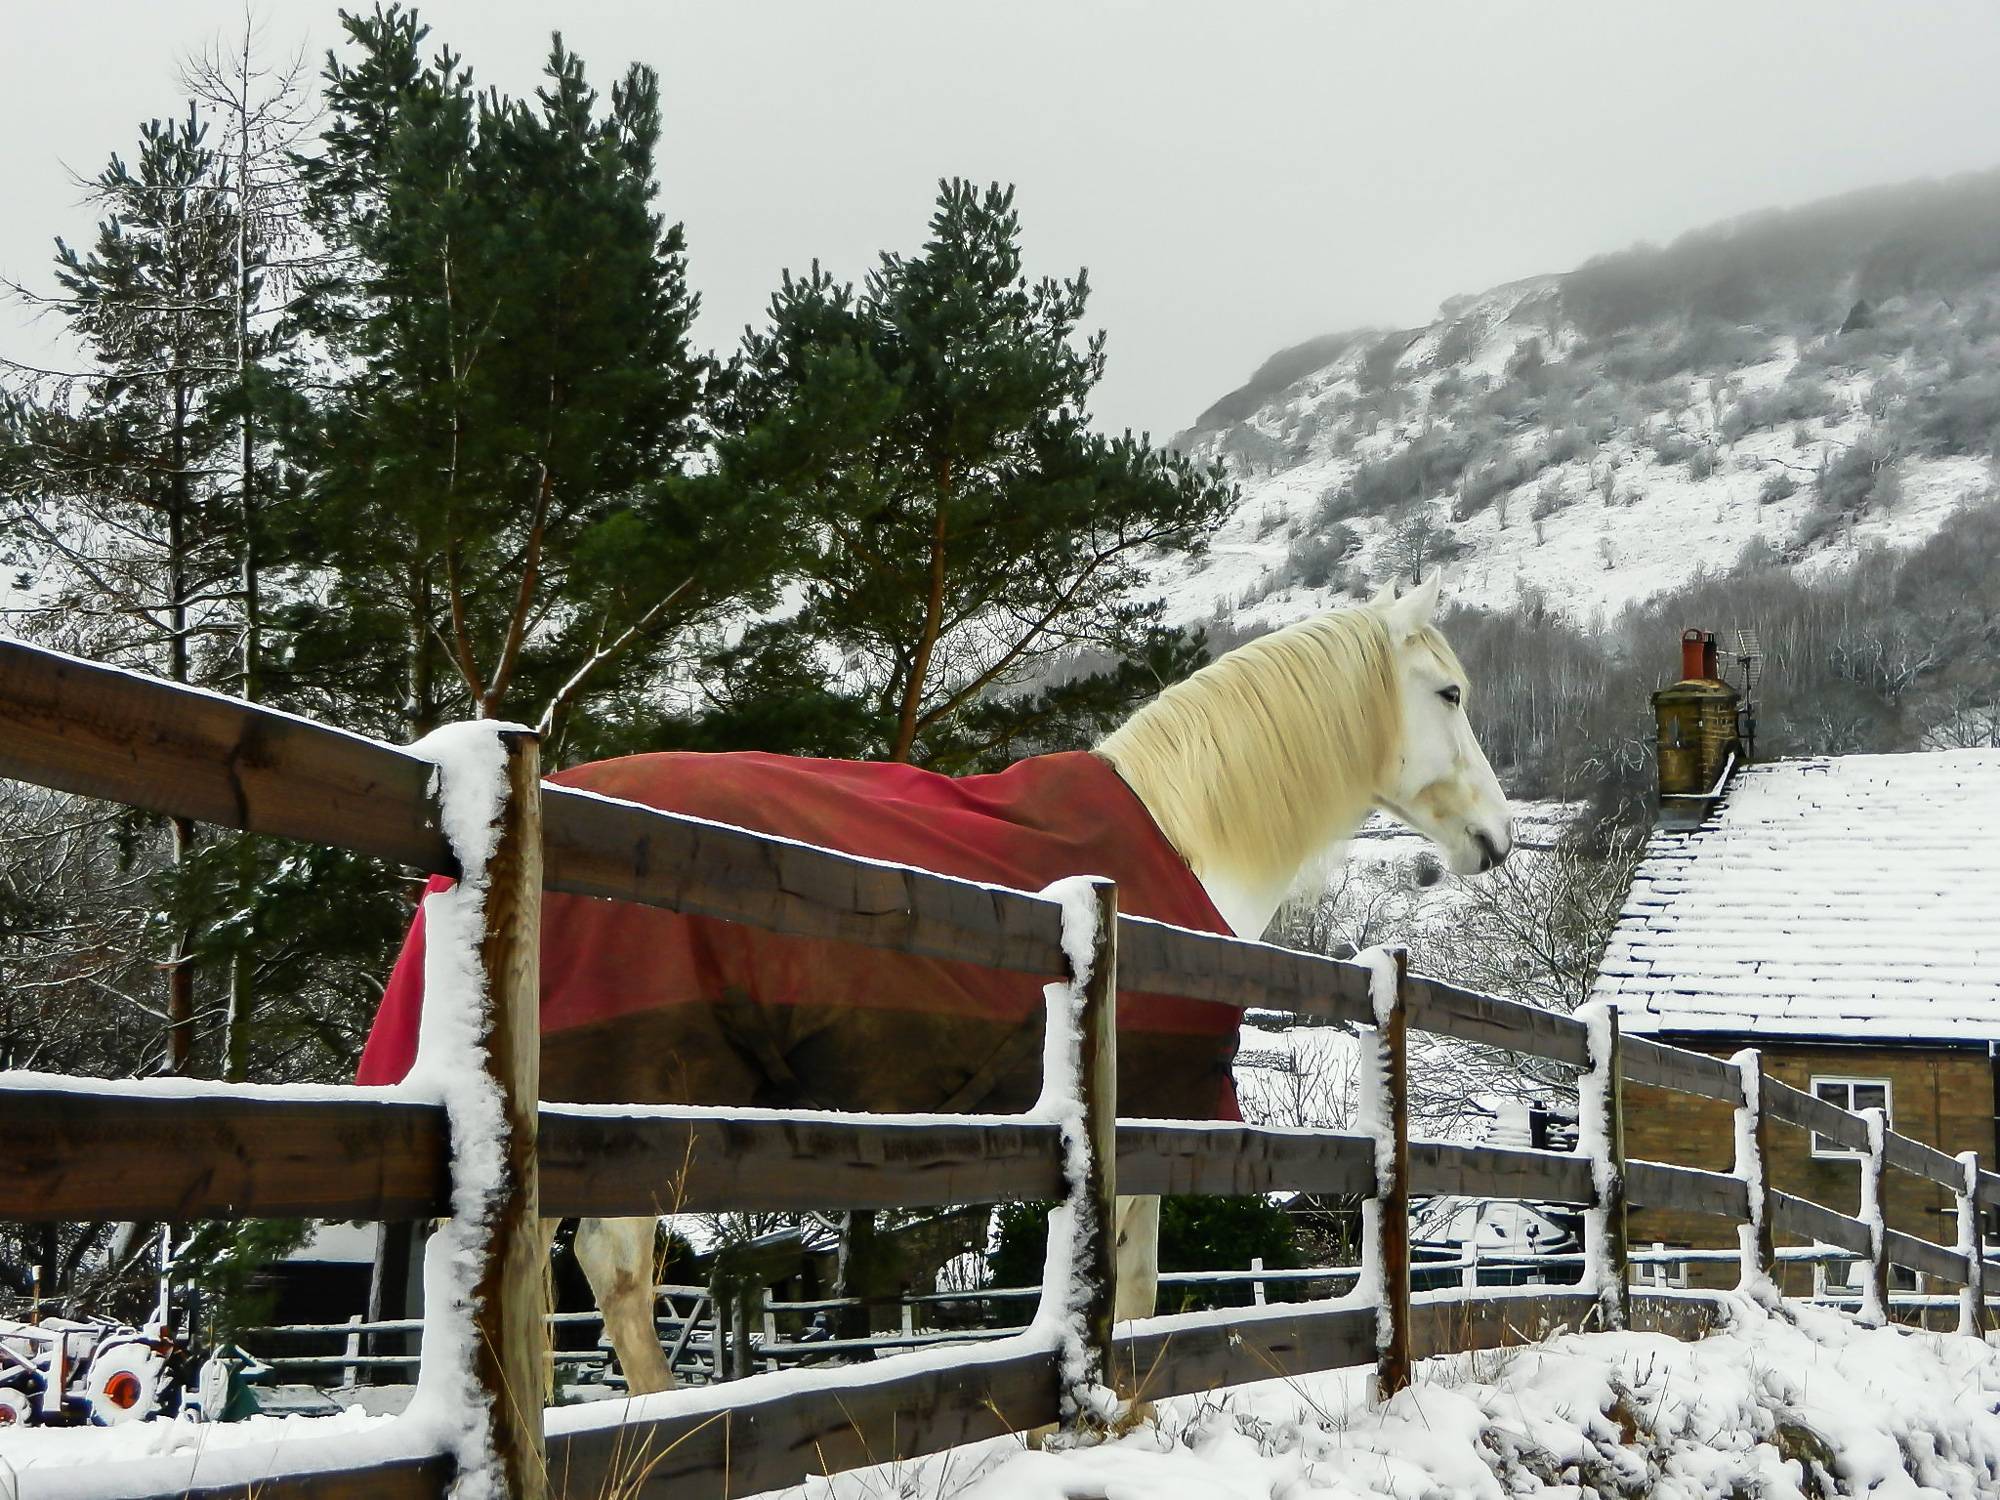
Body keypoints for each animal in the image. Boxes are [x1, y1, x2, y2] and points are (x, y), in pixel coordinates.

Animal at [556, 568, 1504, 1392]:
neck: (1183, 834)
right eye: (1450, 695)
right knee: (615, 1269)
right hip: (651, 1100)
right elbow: (1133, 1289)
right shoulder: (1154, 1110)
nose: (1497, 836)